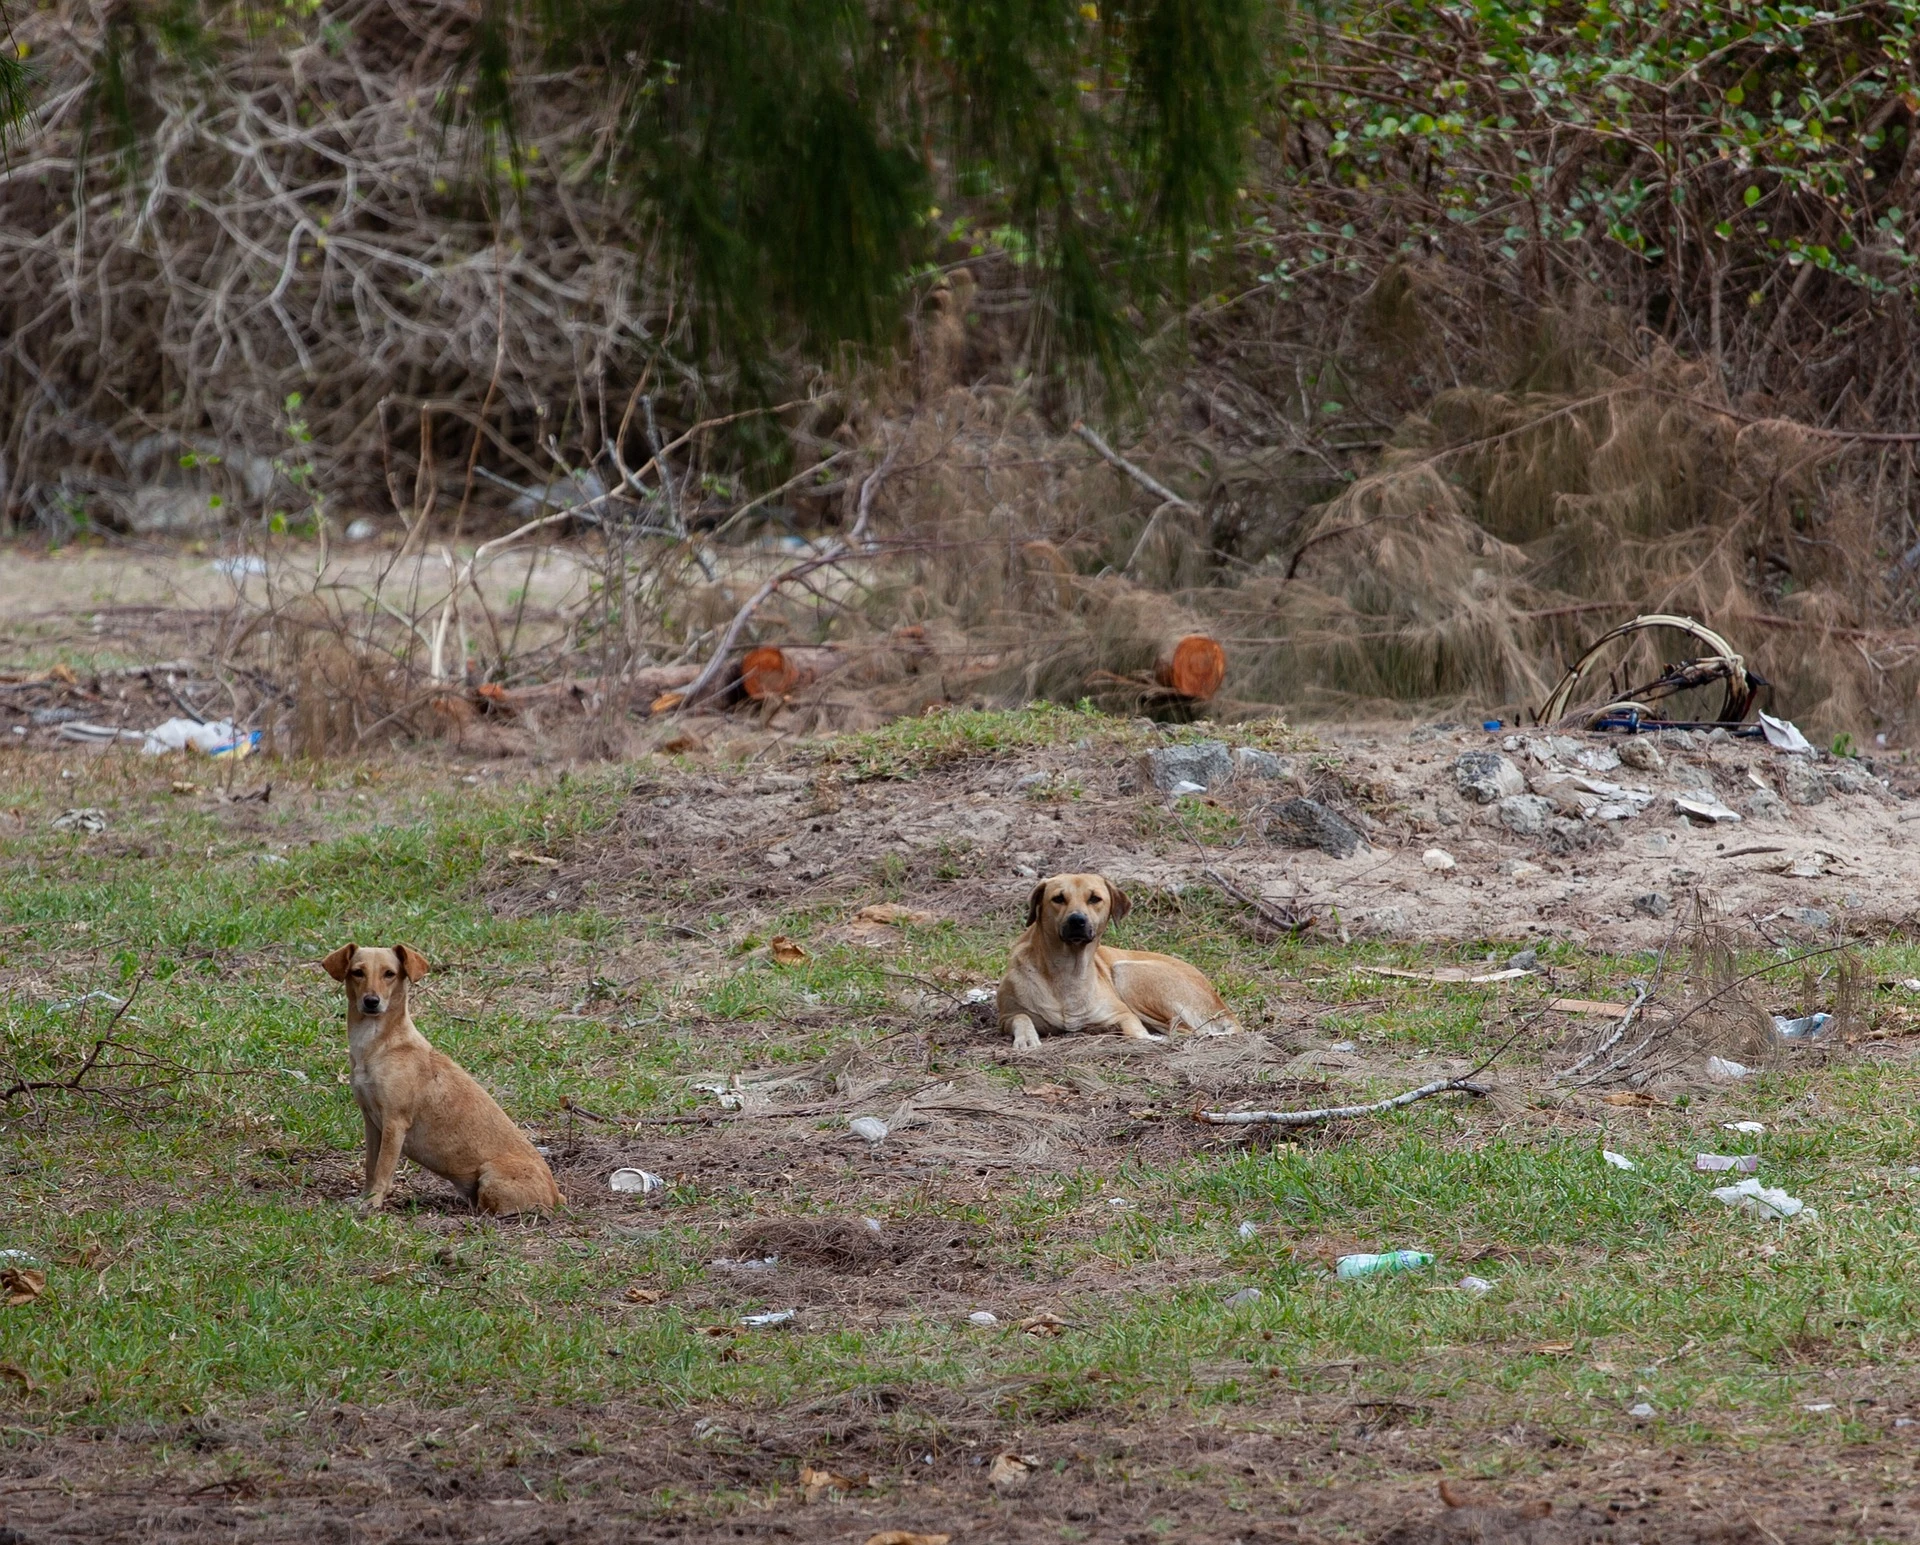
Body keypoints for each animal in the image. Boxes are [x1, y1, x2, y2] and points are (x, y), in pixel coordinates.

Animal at [322, 940, 560, 1220]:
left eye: (389, 974)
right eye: (358, 972)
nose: (371, 1001)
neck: (377, 1046)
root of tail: (557, 1196)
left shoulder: (395, 1122)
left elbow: (383, 1170)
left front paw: (372, 1203)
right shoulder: (371, 1120)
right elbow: (371, 1166)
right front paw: (364, 1198)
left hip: (490, 1177)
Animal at [998, 867, 1236, 1051]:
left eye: (1094, 898)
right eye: (1058, 898)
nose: (1077, 920)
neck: (1068, 971)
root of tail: (1223, 1006)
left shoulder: (1124, 1013)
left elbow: (1134, 1030)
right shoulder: (1007, 1015)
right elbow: (1021, 1017)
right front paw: (1027, 1038)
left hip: (1125, 972)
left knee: (1182, 1029)